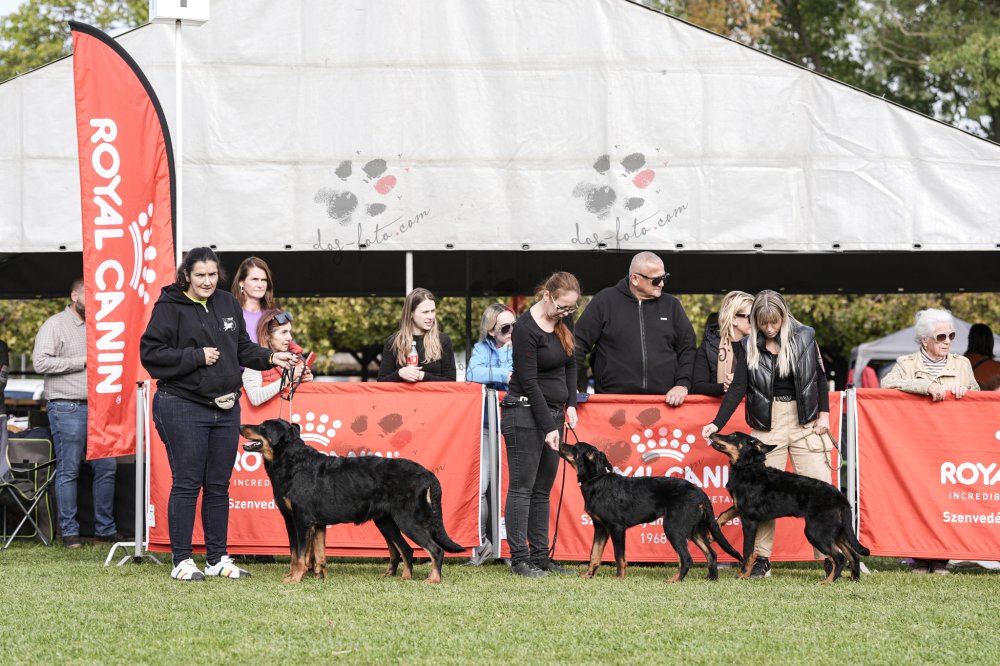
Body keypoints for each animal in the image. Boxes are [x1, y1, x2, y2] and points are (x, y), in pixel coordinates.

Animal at [240, 418, 465, 584]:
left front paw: (294, 578)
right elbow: (315, 553)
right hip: (386, 521)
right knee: (405, 550)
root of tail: (427, 474)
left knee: (435, 549)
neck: (292, 462)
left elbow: (299, 554)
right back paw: (404, 577)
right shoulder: (313, 523)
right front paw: (318, 575)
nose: (241, 426)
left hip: (409, 520)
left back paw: (433, 579)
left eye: (262, 427)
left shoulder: (300, 521)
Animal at [559, 441, 743, 582]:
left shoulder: (616, 527)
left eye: (574, 447)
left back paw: (675, 580)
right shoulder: (600, 527)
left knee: (686, 558)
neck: (596, 481)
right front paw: (588, 576)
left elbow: (619, 556)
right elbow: (594, 555)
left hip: (673, 527)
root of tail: (701, 494)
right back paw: (711, 579)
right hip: (694, 530)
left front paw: (619, 578)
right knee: (711, 554)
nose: (560, 443)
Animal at [708, 431, 870, 582]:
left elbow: (747, 550)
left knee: (839, 558)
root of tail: (841, 497)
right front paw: (710, 536)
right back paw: (853, 580)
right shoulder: (739, 507)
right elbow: (722, 515)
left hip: (816, 532)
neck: (748, 468)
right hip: (837, 531)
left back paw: (827, 582)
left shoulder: (749, 519)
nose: (712, 434)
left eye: (734, 435)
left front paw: (743, 575)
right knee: (853, 555)